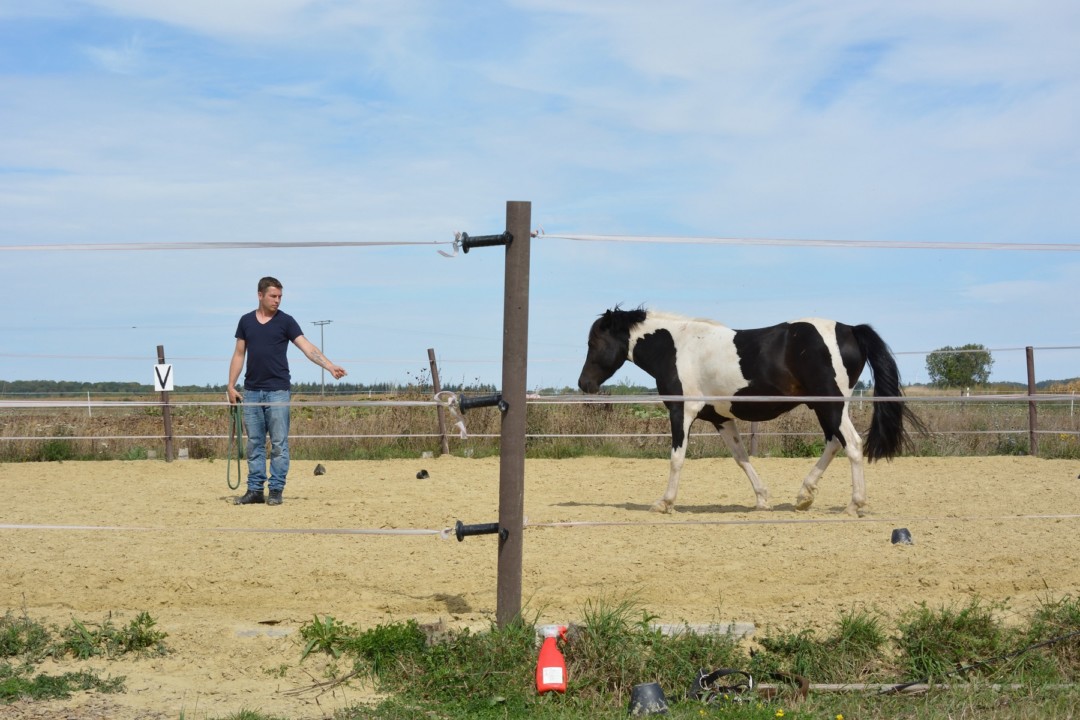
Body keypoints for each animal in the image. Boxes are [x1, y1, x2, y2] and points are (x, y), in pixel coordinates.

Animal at [577, 307, 923, 516]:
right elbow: (741, 457)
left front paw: (664, 503)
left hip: (832, 405)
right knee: (834, 443)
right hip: (824, 408)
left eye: (594, 342)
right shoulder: (721, 419)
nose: (584, 384)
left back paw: (853, 504)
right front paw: (762, 499)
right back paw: (804, 496)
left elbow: (677, 458)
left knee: (851, 443)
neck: (677, 347)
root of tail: (850, 329)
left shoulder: (681, 411)